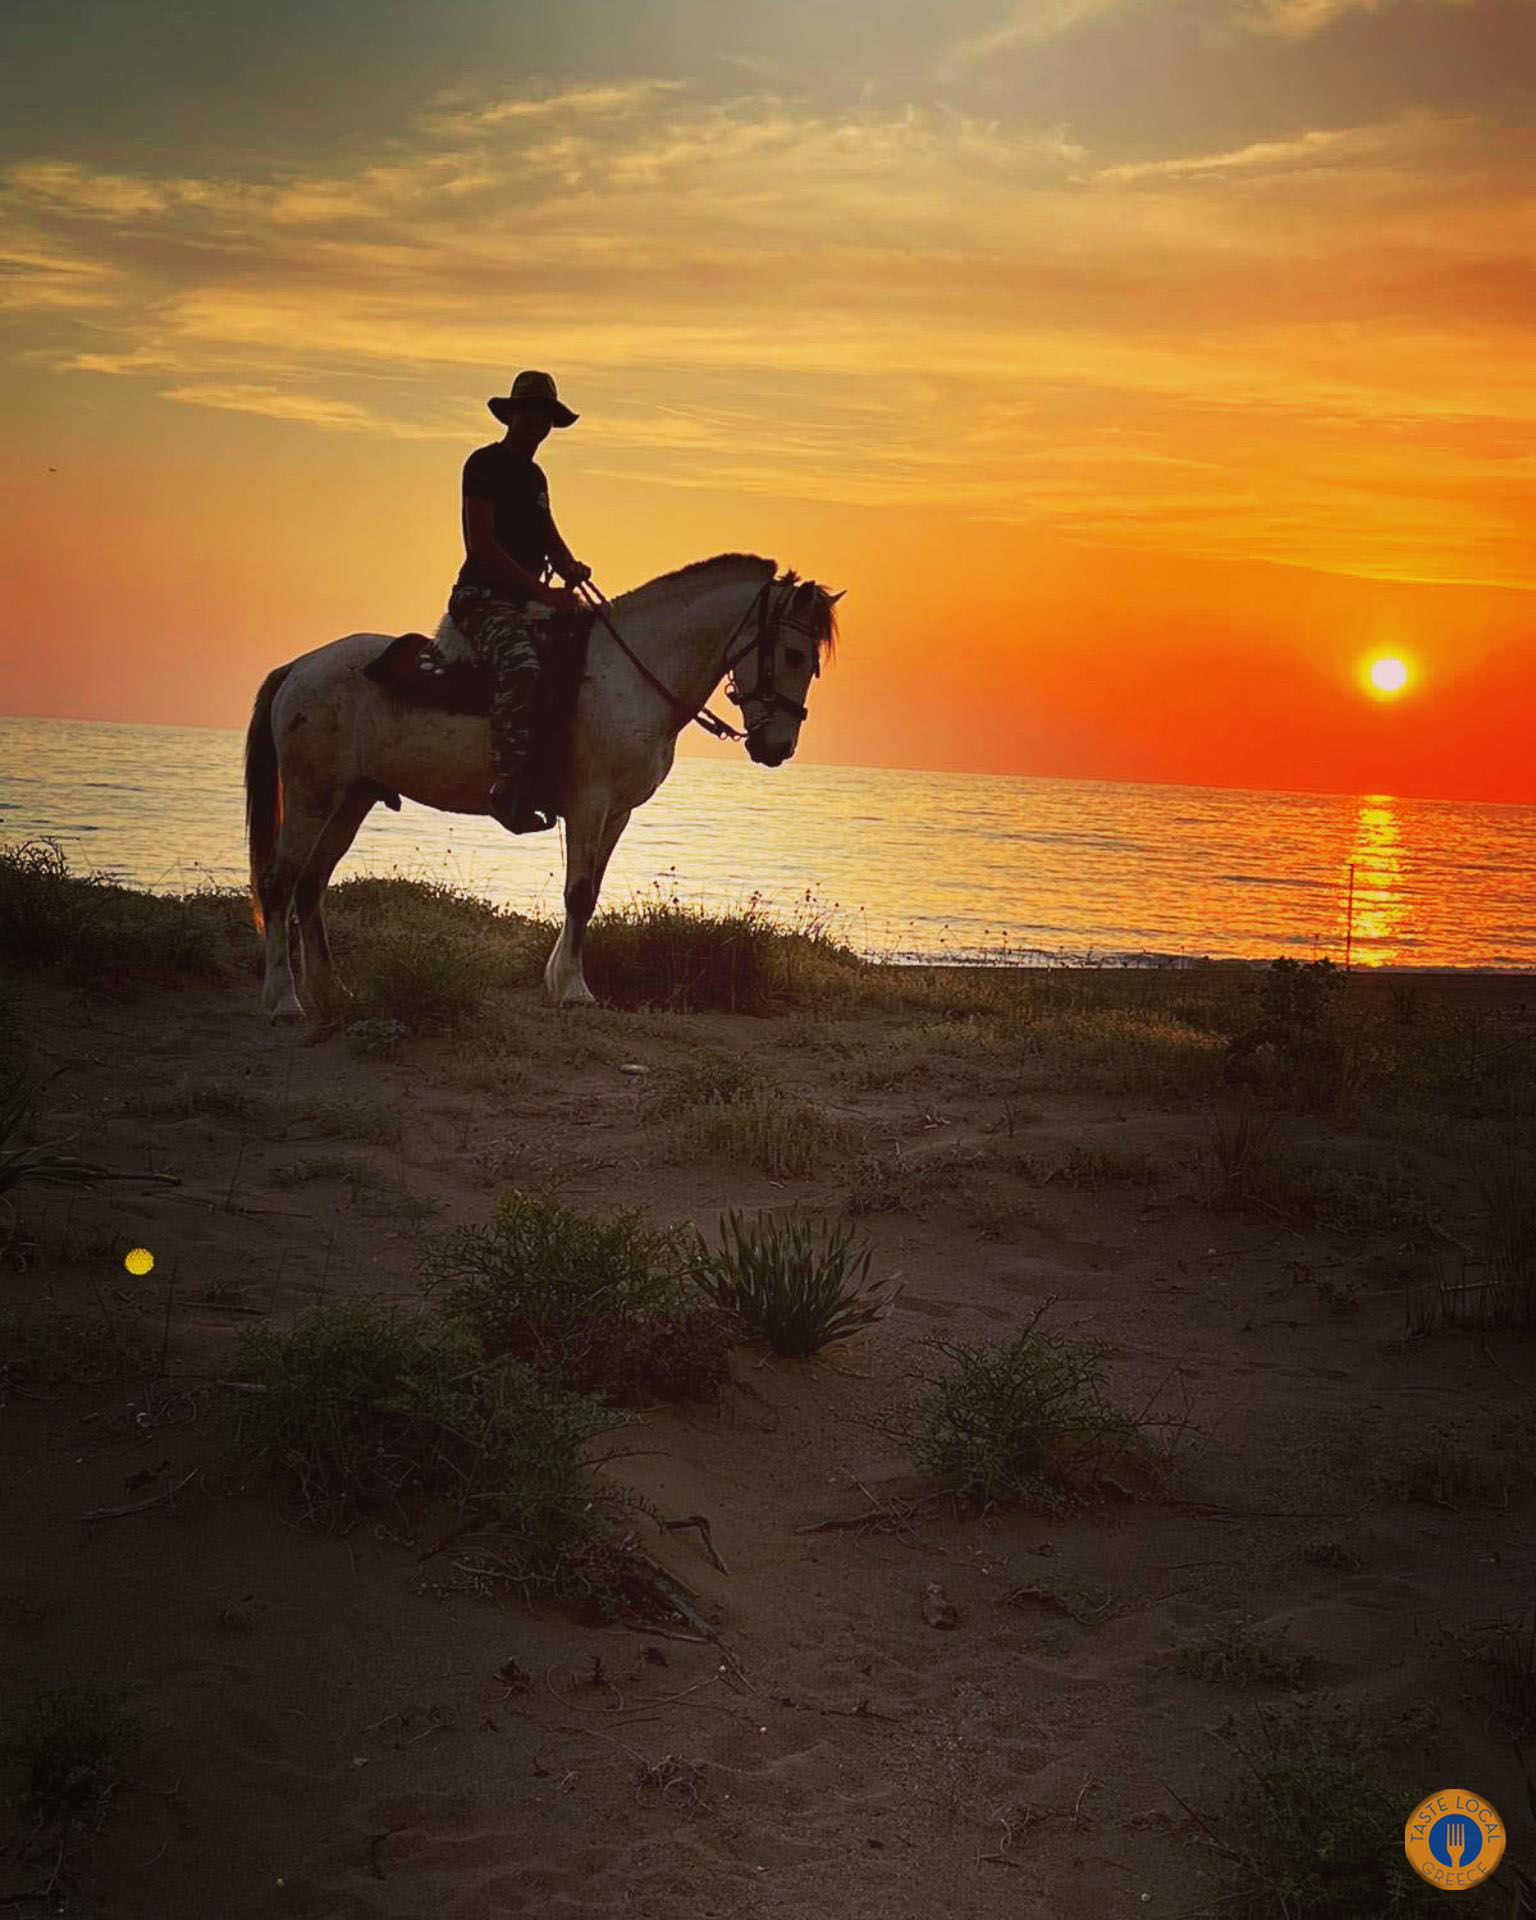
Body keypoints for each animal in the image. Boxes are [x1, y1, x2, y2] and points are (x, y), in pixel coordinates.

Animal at [242, 552, 840, 1021]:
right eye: (793, 654)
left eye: (813, 662)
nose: (777, 747)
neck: (628, 677)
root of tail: (300, 667)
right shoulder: (588, 803)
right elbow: (577, 893)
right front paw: (575, 990)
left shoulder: (616, 812)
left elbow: (590, 893)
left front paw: (559, 981)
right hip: (311, 795)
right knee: (280, 882)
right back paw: (284, 1000)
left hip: (351, 798)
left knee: (310, 886)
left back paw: (329, 991)